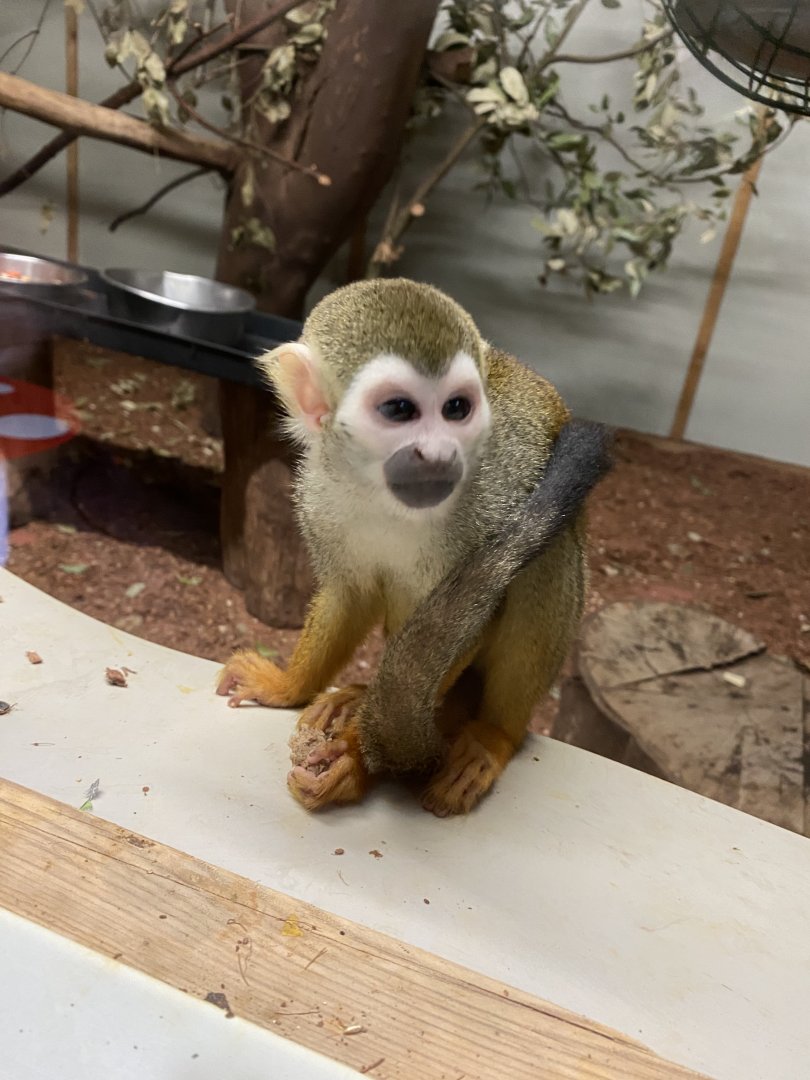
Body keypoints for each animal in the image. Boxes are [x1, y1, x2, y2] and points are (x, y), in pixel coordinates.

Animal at [217, 278, 612, 816]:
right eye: (399, 410)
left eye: (456, 409)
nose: (439, 453)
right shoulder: (318, 493)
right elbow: (350, 594)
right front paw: (286, 686)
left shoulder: (493, 499)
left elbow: (471, 620)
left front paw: (356, 760)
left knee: (547, 558)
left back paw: (492, 735)